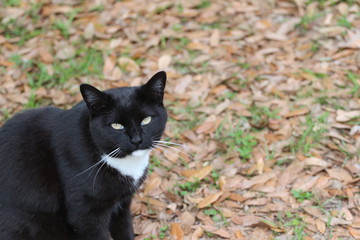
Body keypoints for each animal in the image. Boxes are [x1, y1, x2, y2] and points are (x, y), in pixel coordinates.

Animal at [0, 71, 167, 238]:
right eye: (116, 126)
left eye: (146, 120)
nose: (137, 140)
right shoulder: (85, 215)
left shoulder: (123, 205)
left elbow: (124, 229)